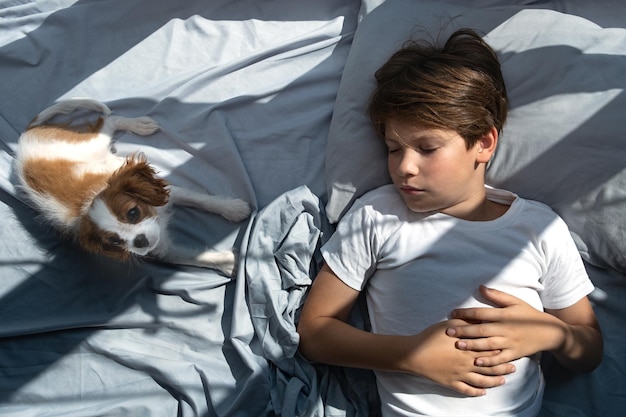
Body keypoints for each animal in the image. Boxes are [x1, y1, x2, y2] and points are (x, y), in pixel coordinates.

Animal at [14, 97, 250, 272]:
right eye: (115, 241)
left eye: (133, 213)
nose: (140, 241)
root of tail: (26, 135)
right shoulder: (161, 249)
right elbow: (193, 257)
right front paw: (229, 263)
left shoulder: (166, 193)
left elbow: (201, 200)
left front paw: (232, 209)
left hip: (89, 144)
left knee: (109, 119)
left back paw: (139, 125)